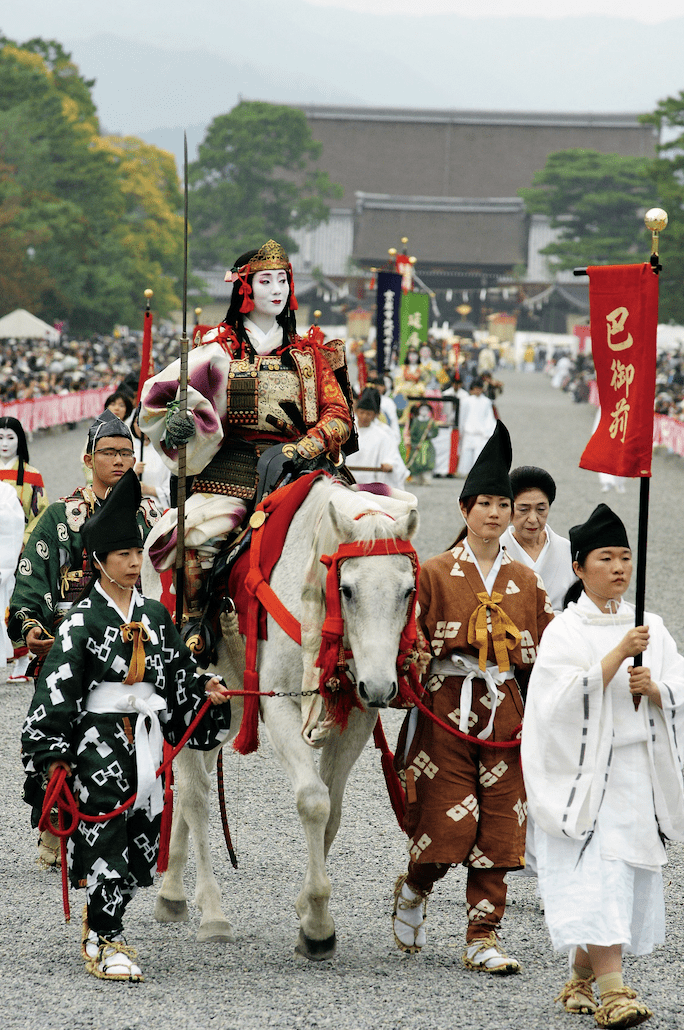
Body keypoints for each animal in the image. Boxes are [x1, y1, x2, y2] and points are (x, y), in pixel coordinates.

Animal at [143, 477, 416, 959]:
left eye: (407, 591)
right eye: (347, 589)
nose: (383, 687)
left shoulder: (356, 716)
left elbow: (334, 812)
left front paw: (307, 909)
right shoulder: (279, 703)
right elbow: (313, 801)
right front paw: (318, 926)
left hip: (224, 705)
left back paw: (172, 891)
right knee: (194, 795)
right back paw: (212, 913)